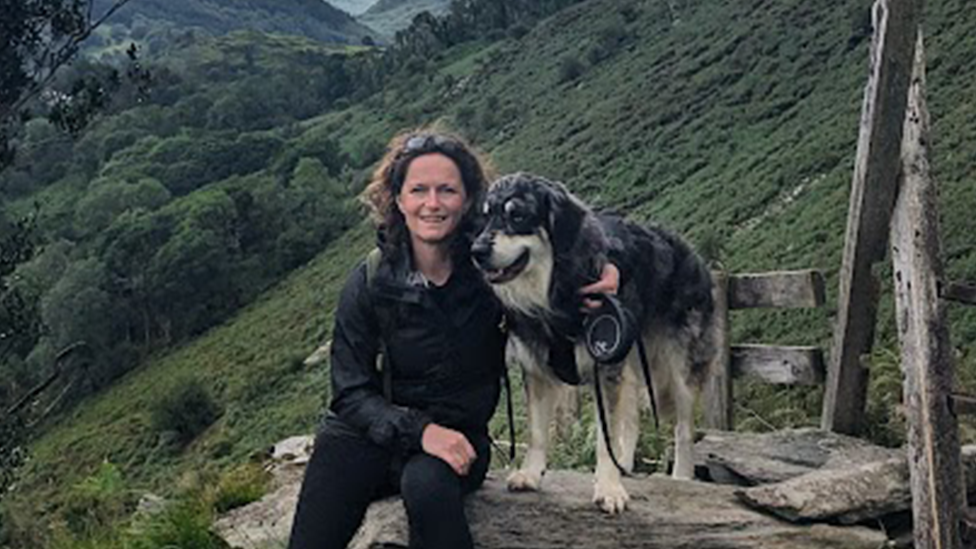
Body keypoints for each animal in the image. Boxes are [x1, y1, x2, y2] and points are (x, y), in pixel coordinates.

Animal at [468, 172, 712, 512]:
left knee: (684, 429)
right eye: (486, 215)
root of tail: (692, 252)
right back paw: (625, 464)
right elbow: (538, 431)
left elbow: (606, 434)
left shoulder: (606, 369)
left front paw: (609, 487)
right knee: (631, 420)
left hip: (681, 367)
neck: (554, 289)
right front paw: (531, 474)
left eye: (517, 215)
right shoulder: (537, 368)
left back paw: (679, 477)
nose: (476, 250)